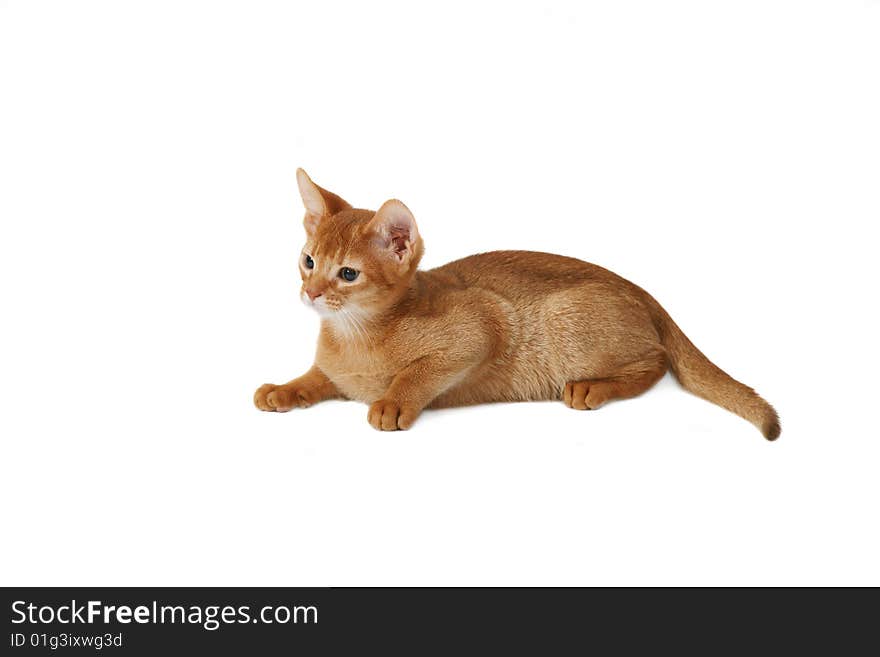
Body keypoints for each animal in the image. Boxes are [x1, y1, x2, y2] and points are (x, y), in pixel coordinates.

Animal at [253, 168, 776, 440]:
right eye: (308, 260)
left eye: (348, 274)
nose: (311, 293)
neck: (353, 337)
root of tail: (639, 289)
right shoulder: (333, 371)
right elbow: (313, 379)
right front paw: (282, 390)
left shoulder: (483, 323)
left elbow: (418, 372)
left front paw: (393, 402)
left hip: (566, 320)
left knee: (656, 361)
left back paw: (592, 388)